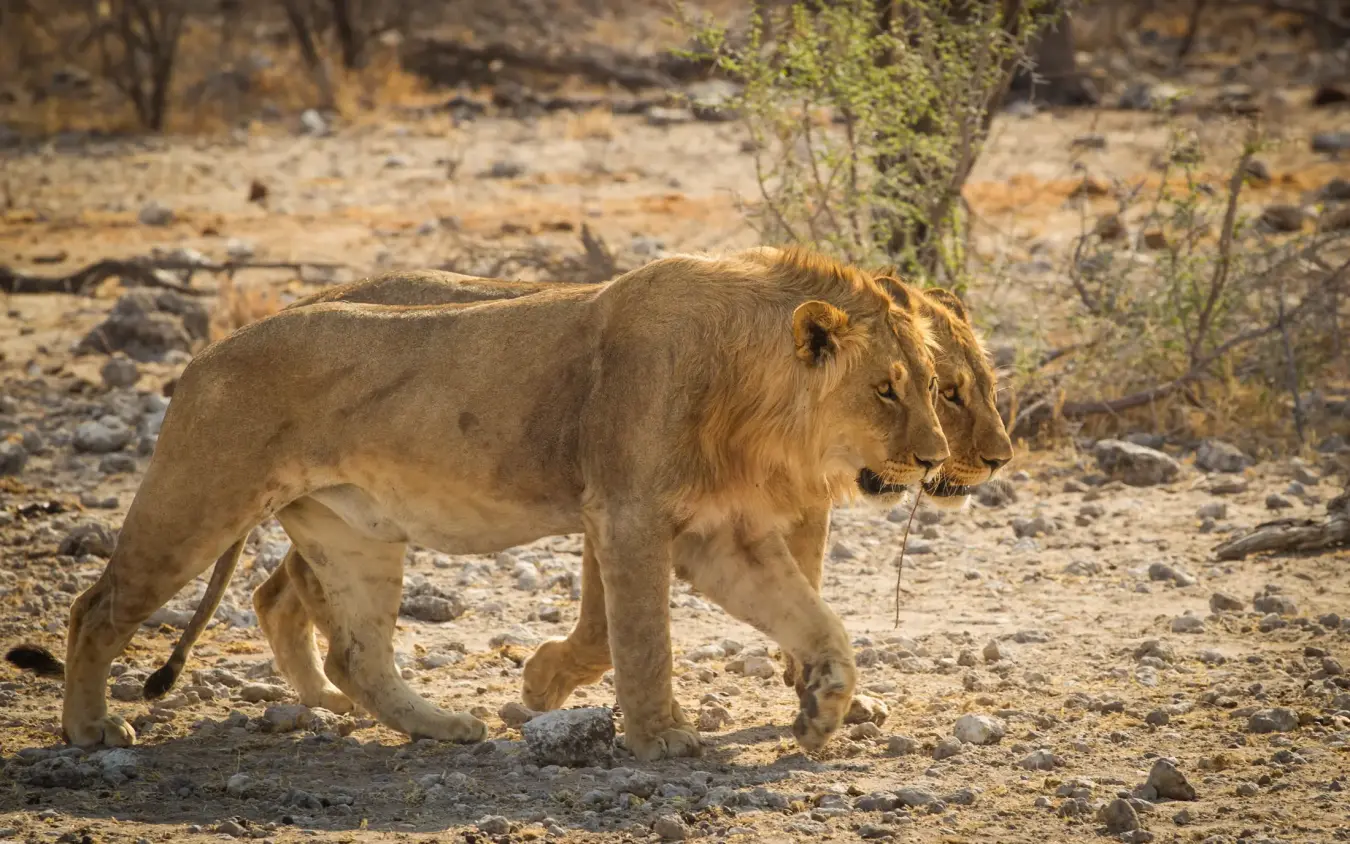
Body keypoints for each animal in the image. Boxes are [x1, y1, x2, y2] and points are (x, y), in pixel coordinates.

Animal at [5, 246, 950, 761]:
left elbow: (819, 622)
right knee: (95, 607)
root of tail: (206, 352)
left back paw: (439, 726)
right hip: (199, 499)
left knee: (355, 652)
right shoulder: (630, 514)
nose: (937, 459)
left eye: (934, 386)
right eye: (887, 390)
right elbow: (644, 640)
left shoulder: (721, 535)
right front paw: (658, 740)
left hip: (352, 531)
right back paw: (90, 731)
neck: (753, 397)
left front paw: (823, 713)